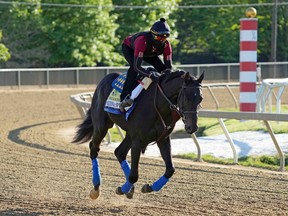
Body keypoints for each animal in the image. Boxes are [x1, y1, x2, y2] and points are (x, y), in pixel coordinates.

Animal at [72, 69, 202, 199]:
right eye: (187, 97)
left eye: (200, 98)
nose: (192, 127)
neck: (158, 105)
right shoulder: (138, 140)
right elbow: (134, 175)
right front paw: (124, 188)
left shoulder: (162, 138)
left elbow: (170, 170)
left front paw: (148, 187)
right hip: (102, 126)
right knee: (94, 148)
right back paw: (96, 187)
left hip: (129, 134)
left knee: (119, 152)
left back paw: (128, 188)